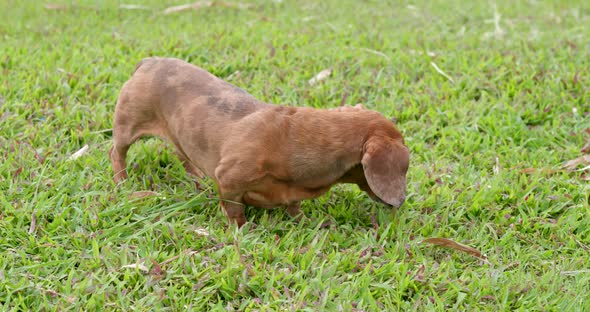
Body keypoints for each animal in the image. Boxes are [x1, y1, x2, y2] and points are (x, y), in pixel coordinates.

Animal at [108, 57, 410, 227]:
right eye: (406, 165)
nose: (401, 203)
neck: (291, 139)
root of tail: (148, 62)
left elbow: (293, 207)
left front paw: (306, 221)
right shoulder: (229, 179)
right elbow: (234, 210)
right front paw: (242, 230)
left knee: (183, 155)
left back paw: (196, 179)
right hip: (128, 125)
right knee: (116, 152)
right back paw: (122, 182)